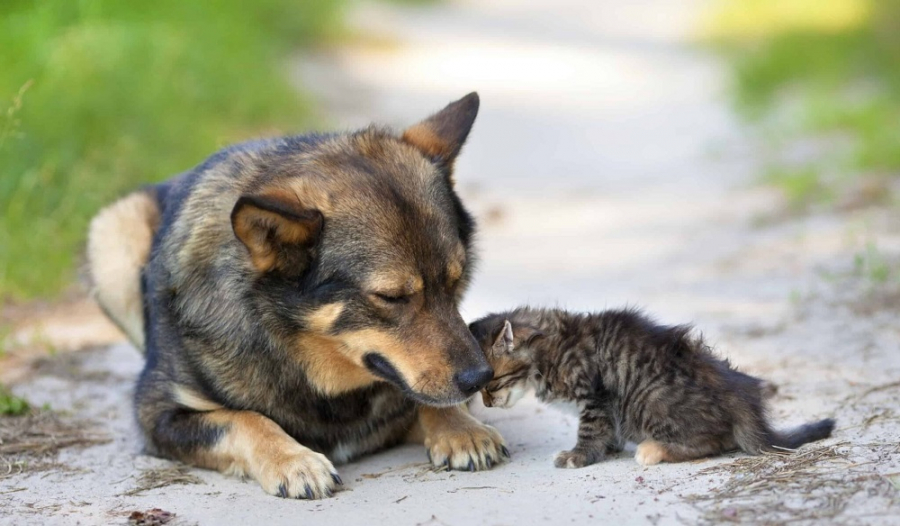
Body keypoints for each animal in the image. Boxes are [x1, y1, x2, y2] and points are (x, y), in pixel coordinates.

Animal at [88, 93, 510, 502]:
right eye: (391, 297)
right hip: (113, 233)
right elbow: (243, 419)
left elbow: (425, 399)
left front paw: (460, 428)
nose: (480, 378)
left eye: (456, 281)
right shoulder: (158, 415)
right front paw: (293, 460)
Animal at [468, 310, 832, 470]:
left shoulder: (596, 395)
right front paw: (609, 448)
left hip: (650, 400)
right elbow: (606, 430)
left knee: (713, 441)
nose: (488, 405)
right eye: (479, 389)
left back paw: (653, 450)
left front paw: (579, 456)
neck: (549, 349)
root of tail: (740, 395)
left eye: (491, 384)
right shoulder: (604, 404)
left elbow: (589, 430)